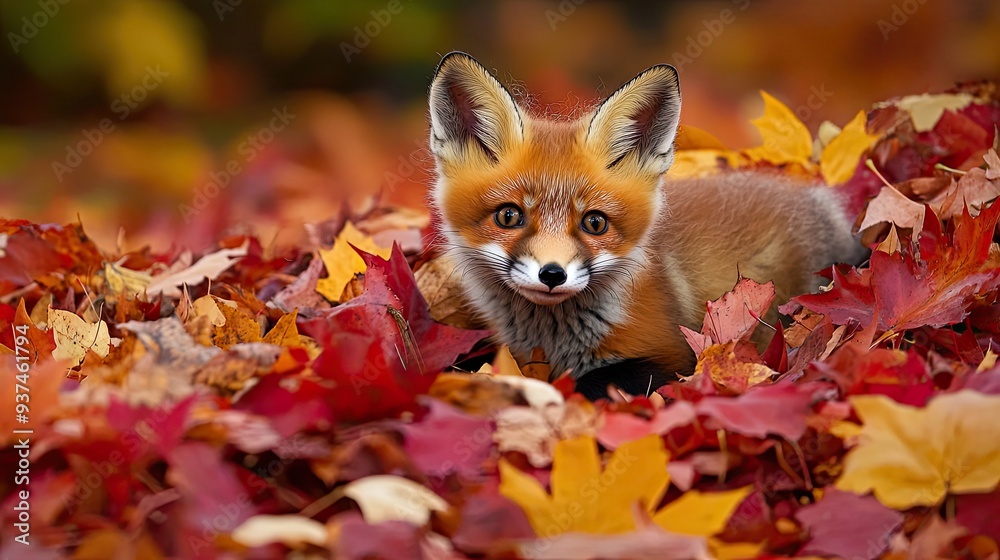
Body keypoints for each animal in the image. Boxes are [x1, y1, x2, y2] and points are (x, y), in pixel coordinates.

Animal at [427, 52, 864, 399]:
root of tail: (822, 201)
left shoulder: (676, 355)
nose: (552, 275)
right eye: (508, 216)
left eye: (595, 223)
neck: (552, 341)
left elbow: (594, 380)